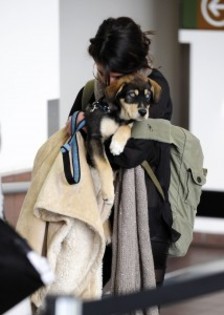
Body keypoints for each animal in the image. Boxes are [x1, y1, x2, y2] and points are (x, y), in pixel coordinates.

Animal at [84, 74, 161, 207]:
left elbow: (127, 126)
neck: (118, 115)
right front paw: (109, 193)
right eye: (131, 95)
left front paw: (117, 145)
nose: (143, 112)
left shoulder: (130, 121)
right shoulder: (95, 137)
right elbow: (105, 166)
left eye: (148, 96)